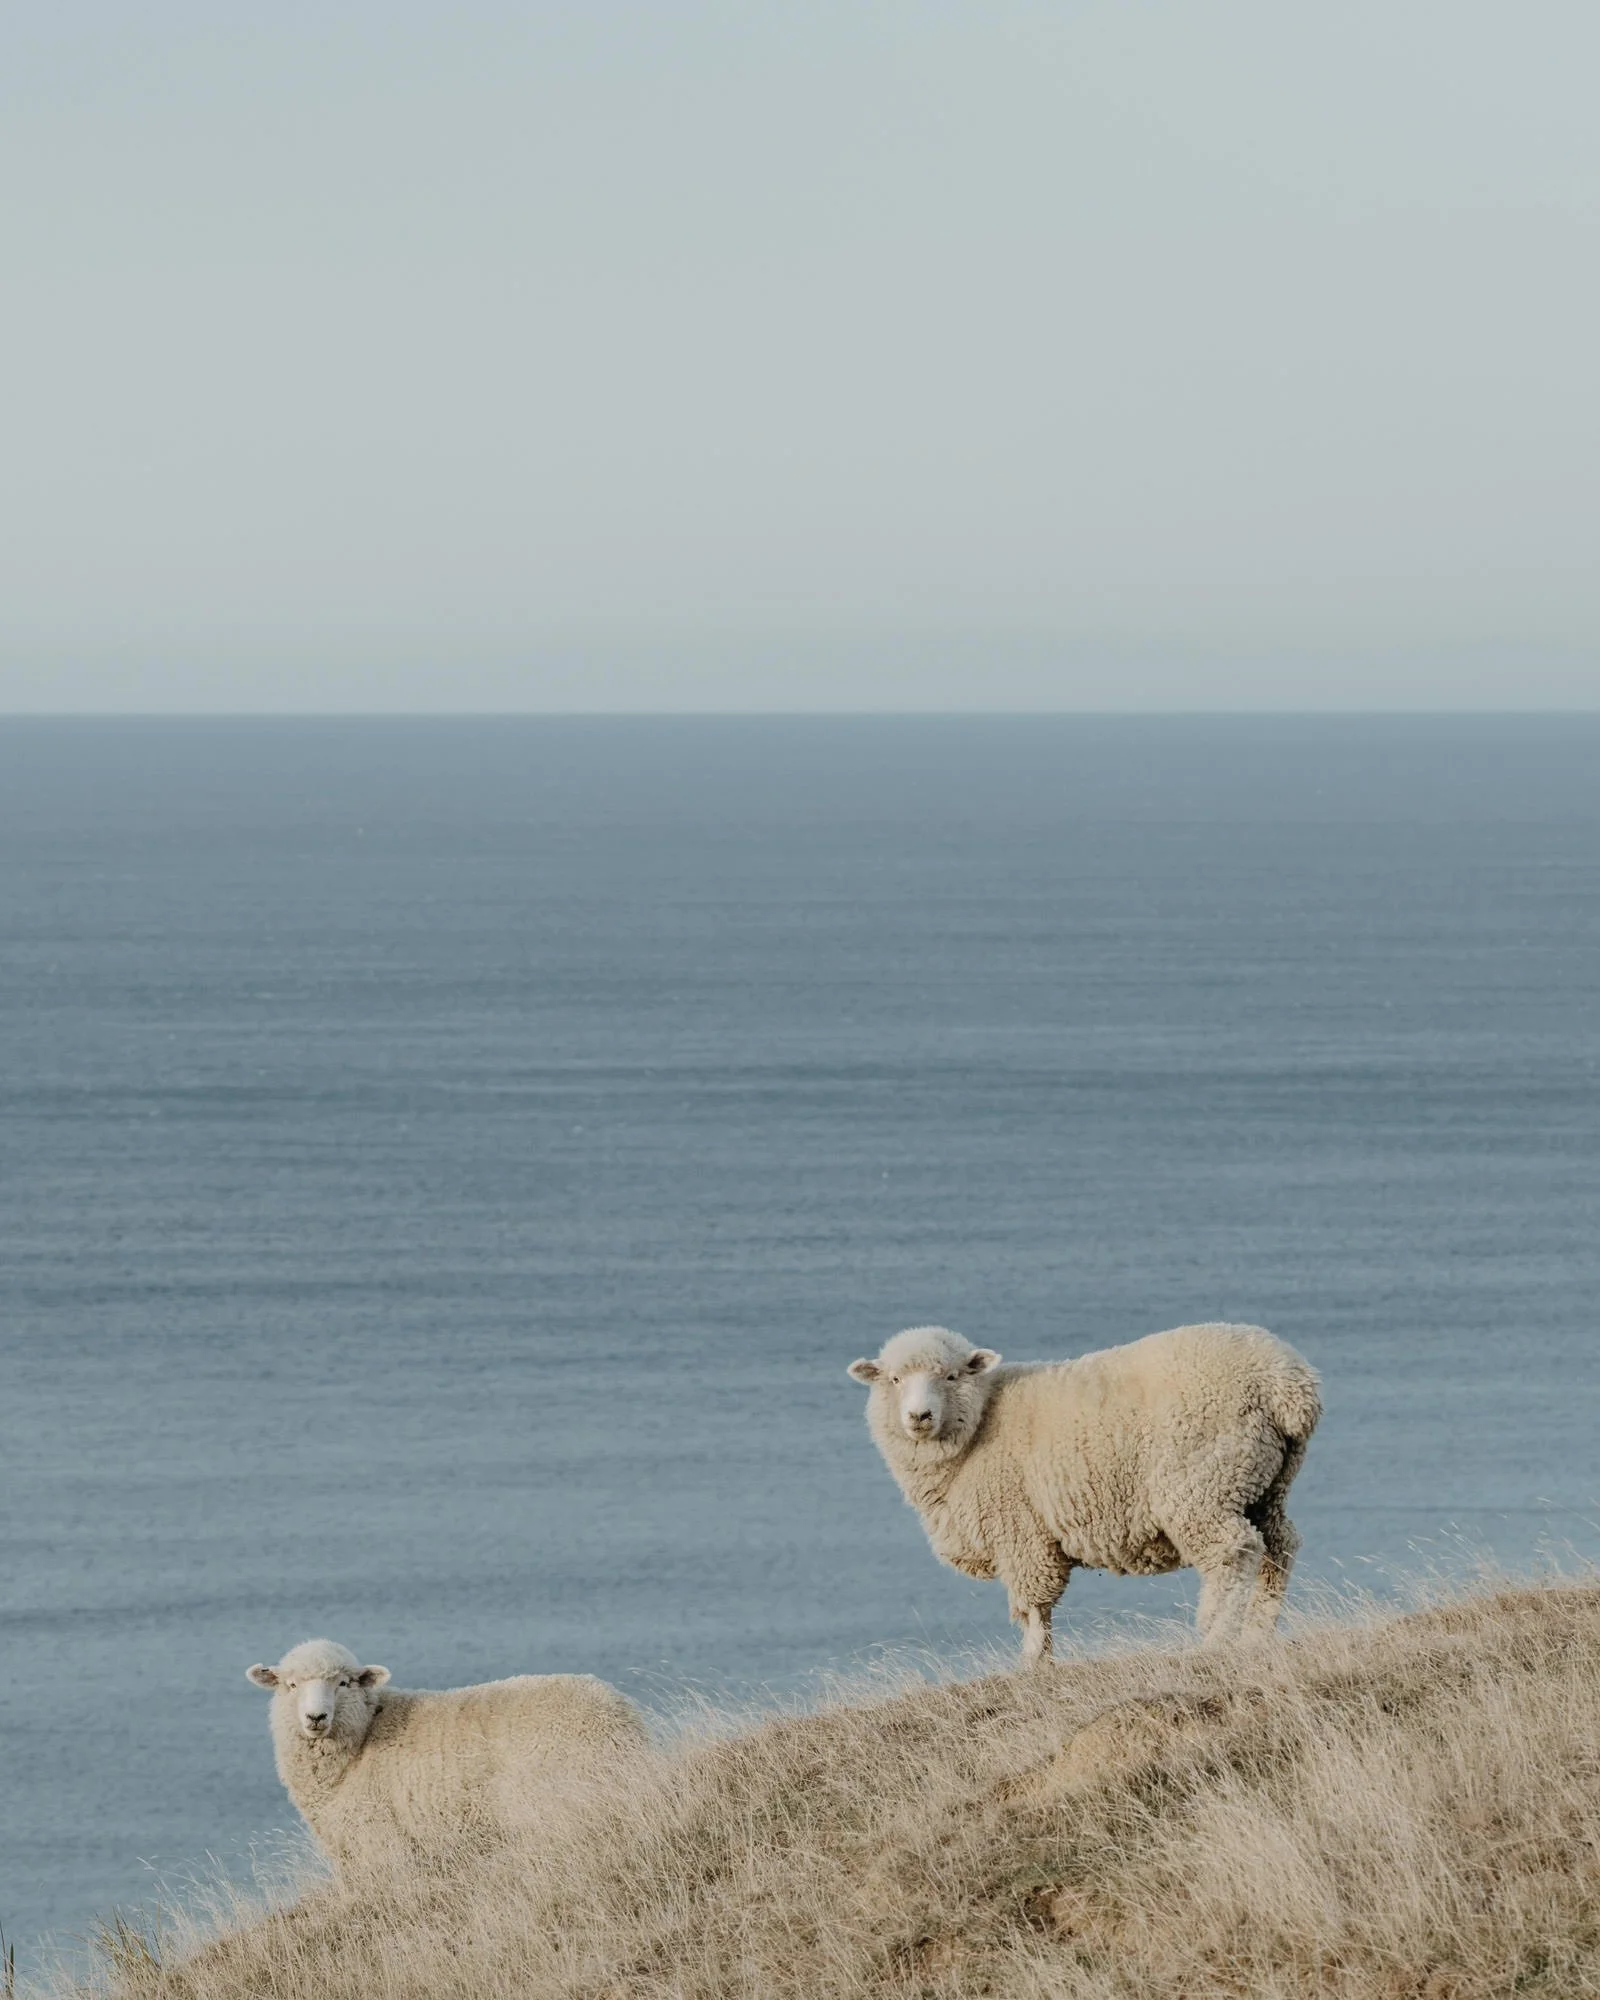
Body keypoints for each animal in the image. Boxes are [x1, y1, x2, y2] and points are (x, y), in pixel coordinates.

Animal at [847, 1322, 1320, 1666]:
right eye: (894, 1379)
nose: (919, 1416)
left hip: (1200, 1483)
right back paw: (1258, 1632)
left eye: (950, 1375)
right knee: (1280, 1545)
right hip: (1262, 1484)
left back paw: (1215, 1638)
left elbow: (1033, 1607)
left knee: (1234, 1552)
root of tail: (1288, 1384)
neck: (979, 1423)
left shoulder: (1020, 1531)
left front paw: (1033, 1664)